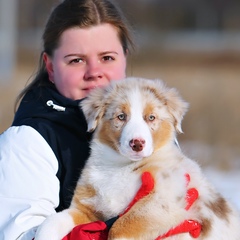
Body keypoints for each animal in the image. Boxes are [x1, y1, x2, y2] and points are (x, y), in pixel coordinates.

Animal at [35, 78, 240, 239]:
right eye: (121, 116)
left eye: (151, 117)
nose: (137, 143)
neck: (120, 166)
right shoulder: (86, 208)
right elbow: (53, 221)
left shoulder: (166, 198)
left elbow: (119, 227)